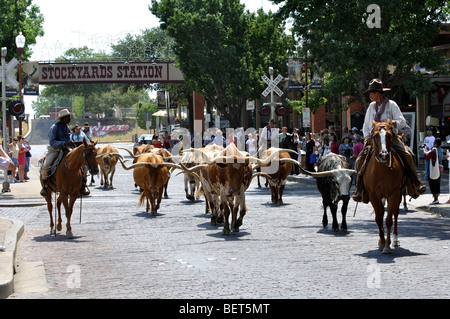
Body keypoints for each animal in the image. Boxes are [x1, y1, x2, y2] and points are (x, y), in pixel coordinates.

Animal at [364, 120, 406, 255]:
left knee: (395, 213)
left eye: (389, 135)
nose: (384, 155)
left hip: (399, 193)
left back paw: (395, 238)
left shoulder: (394, 194)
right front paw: (382, 242)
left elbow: (388, 219)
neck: (382, 171)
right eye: (375, 136)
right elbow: (378, 218)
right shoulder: (373, 195)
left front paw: (387, 246)